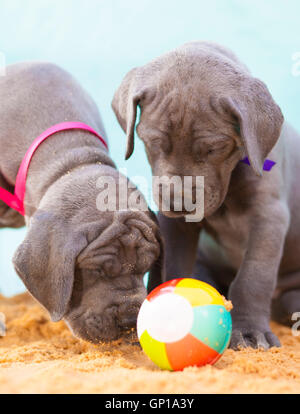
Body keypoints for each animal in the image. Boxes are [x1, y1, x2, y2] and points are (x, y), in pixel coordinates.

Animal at [112, 41, 300, 350]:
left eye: (214, 148)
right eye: (152, 142)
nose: (178, 203)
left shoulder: (268, 214)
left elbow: (253, 276)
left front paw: (250, 331)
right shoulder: (175, 225)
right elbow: (174, 266)